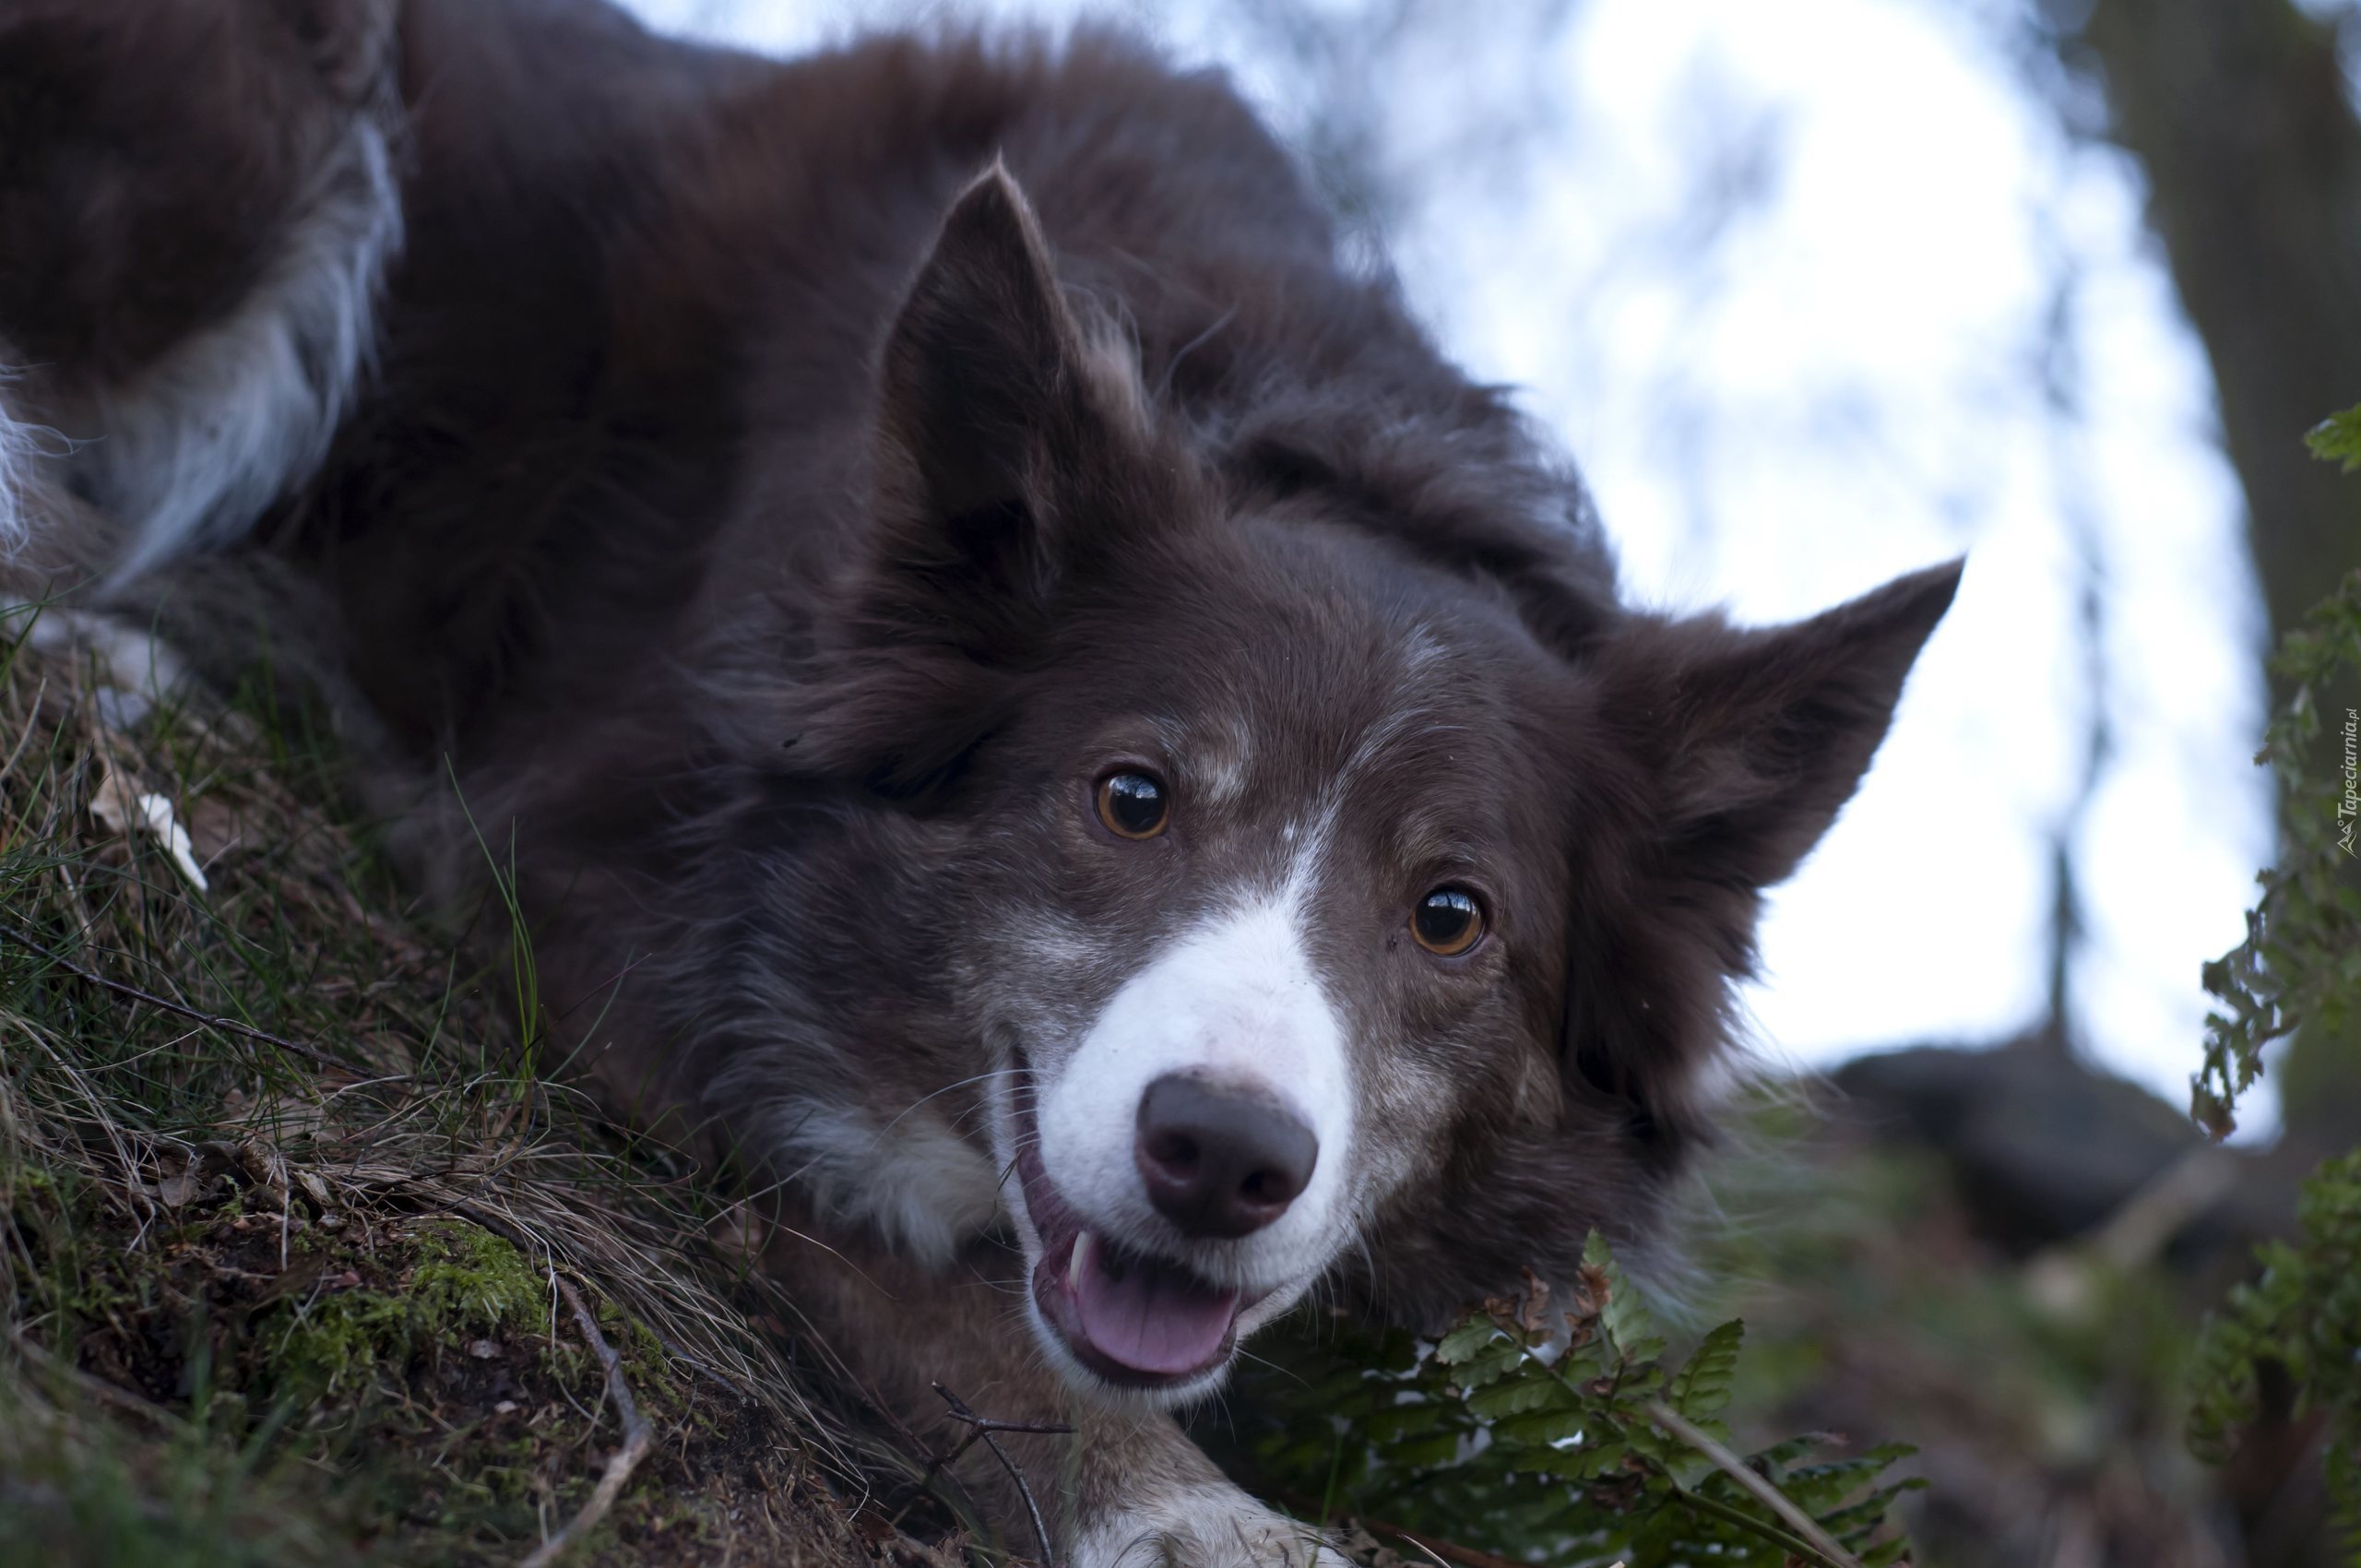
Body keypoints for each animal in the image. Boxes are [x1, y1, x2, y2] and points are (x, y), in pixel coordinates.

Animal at [0, 6, 1954, 1558]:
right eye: (1133, 798)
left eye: (1454, 915)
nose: (1219, 1159)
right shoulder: (603, 890)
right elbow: (944, 1297)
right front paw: (1187, 1514)